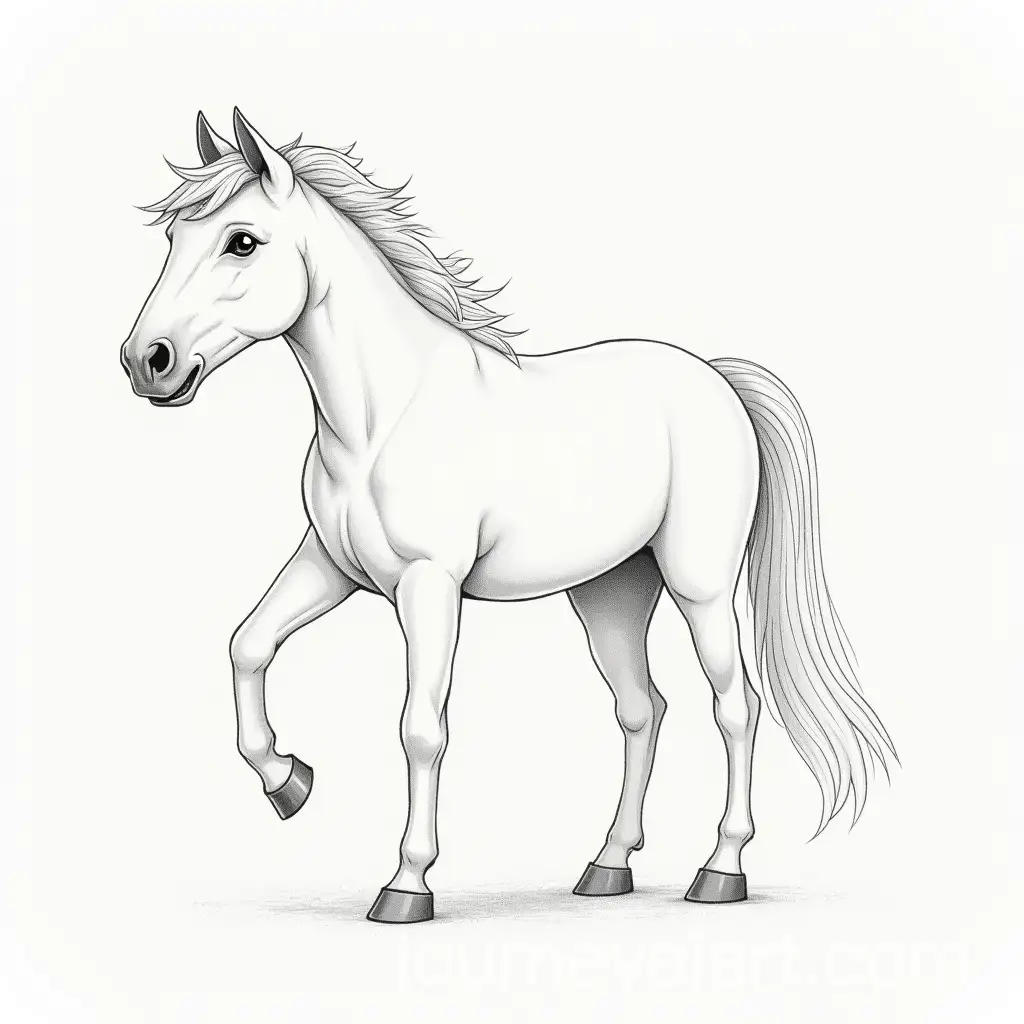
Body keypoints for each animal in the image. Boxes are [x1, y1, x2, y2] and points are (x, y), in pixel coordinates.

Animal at [121, 109, 896, 924]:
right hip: (611, 592)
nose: (148, 362)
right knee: (641, 707)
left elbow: (421, 729)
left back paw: (720, 872)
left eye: (242, 241)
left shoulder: (427, 585)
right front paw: (288, 782)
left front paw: (407, 884)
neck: (381, 416)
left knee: (735, 707)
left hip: (701, 587)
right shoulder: (329, 567)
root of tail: (717, 379)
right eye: (173, 240)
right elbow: (247, 645)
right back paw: (607, 865)